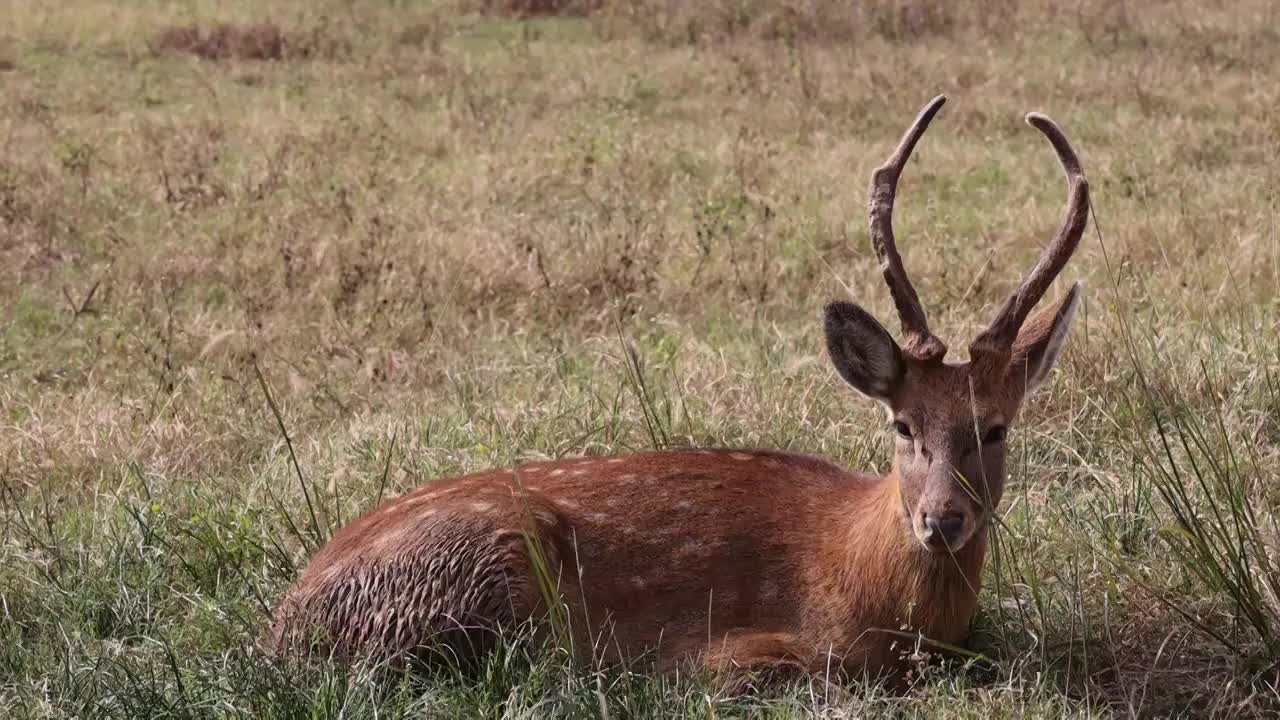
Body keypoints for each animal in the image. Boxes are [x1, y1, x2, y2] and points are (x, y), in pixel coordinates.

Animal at [270, 95, 1090, 681]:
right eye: (902, 425)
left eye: (995, 427)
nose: (940, 520)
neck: (865, 577)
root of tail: (281, 625)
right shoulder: (738, 653)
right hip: (485, 567)